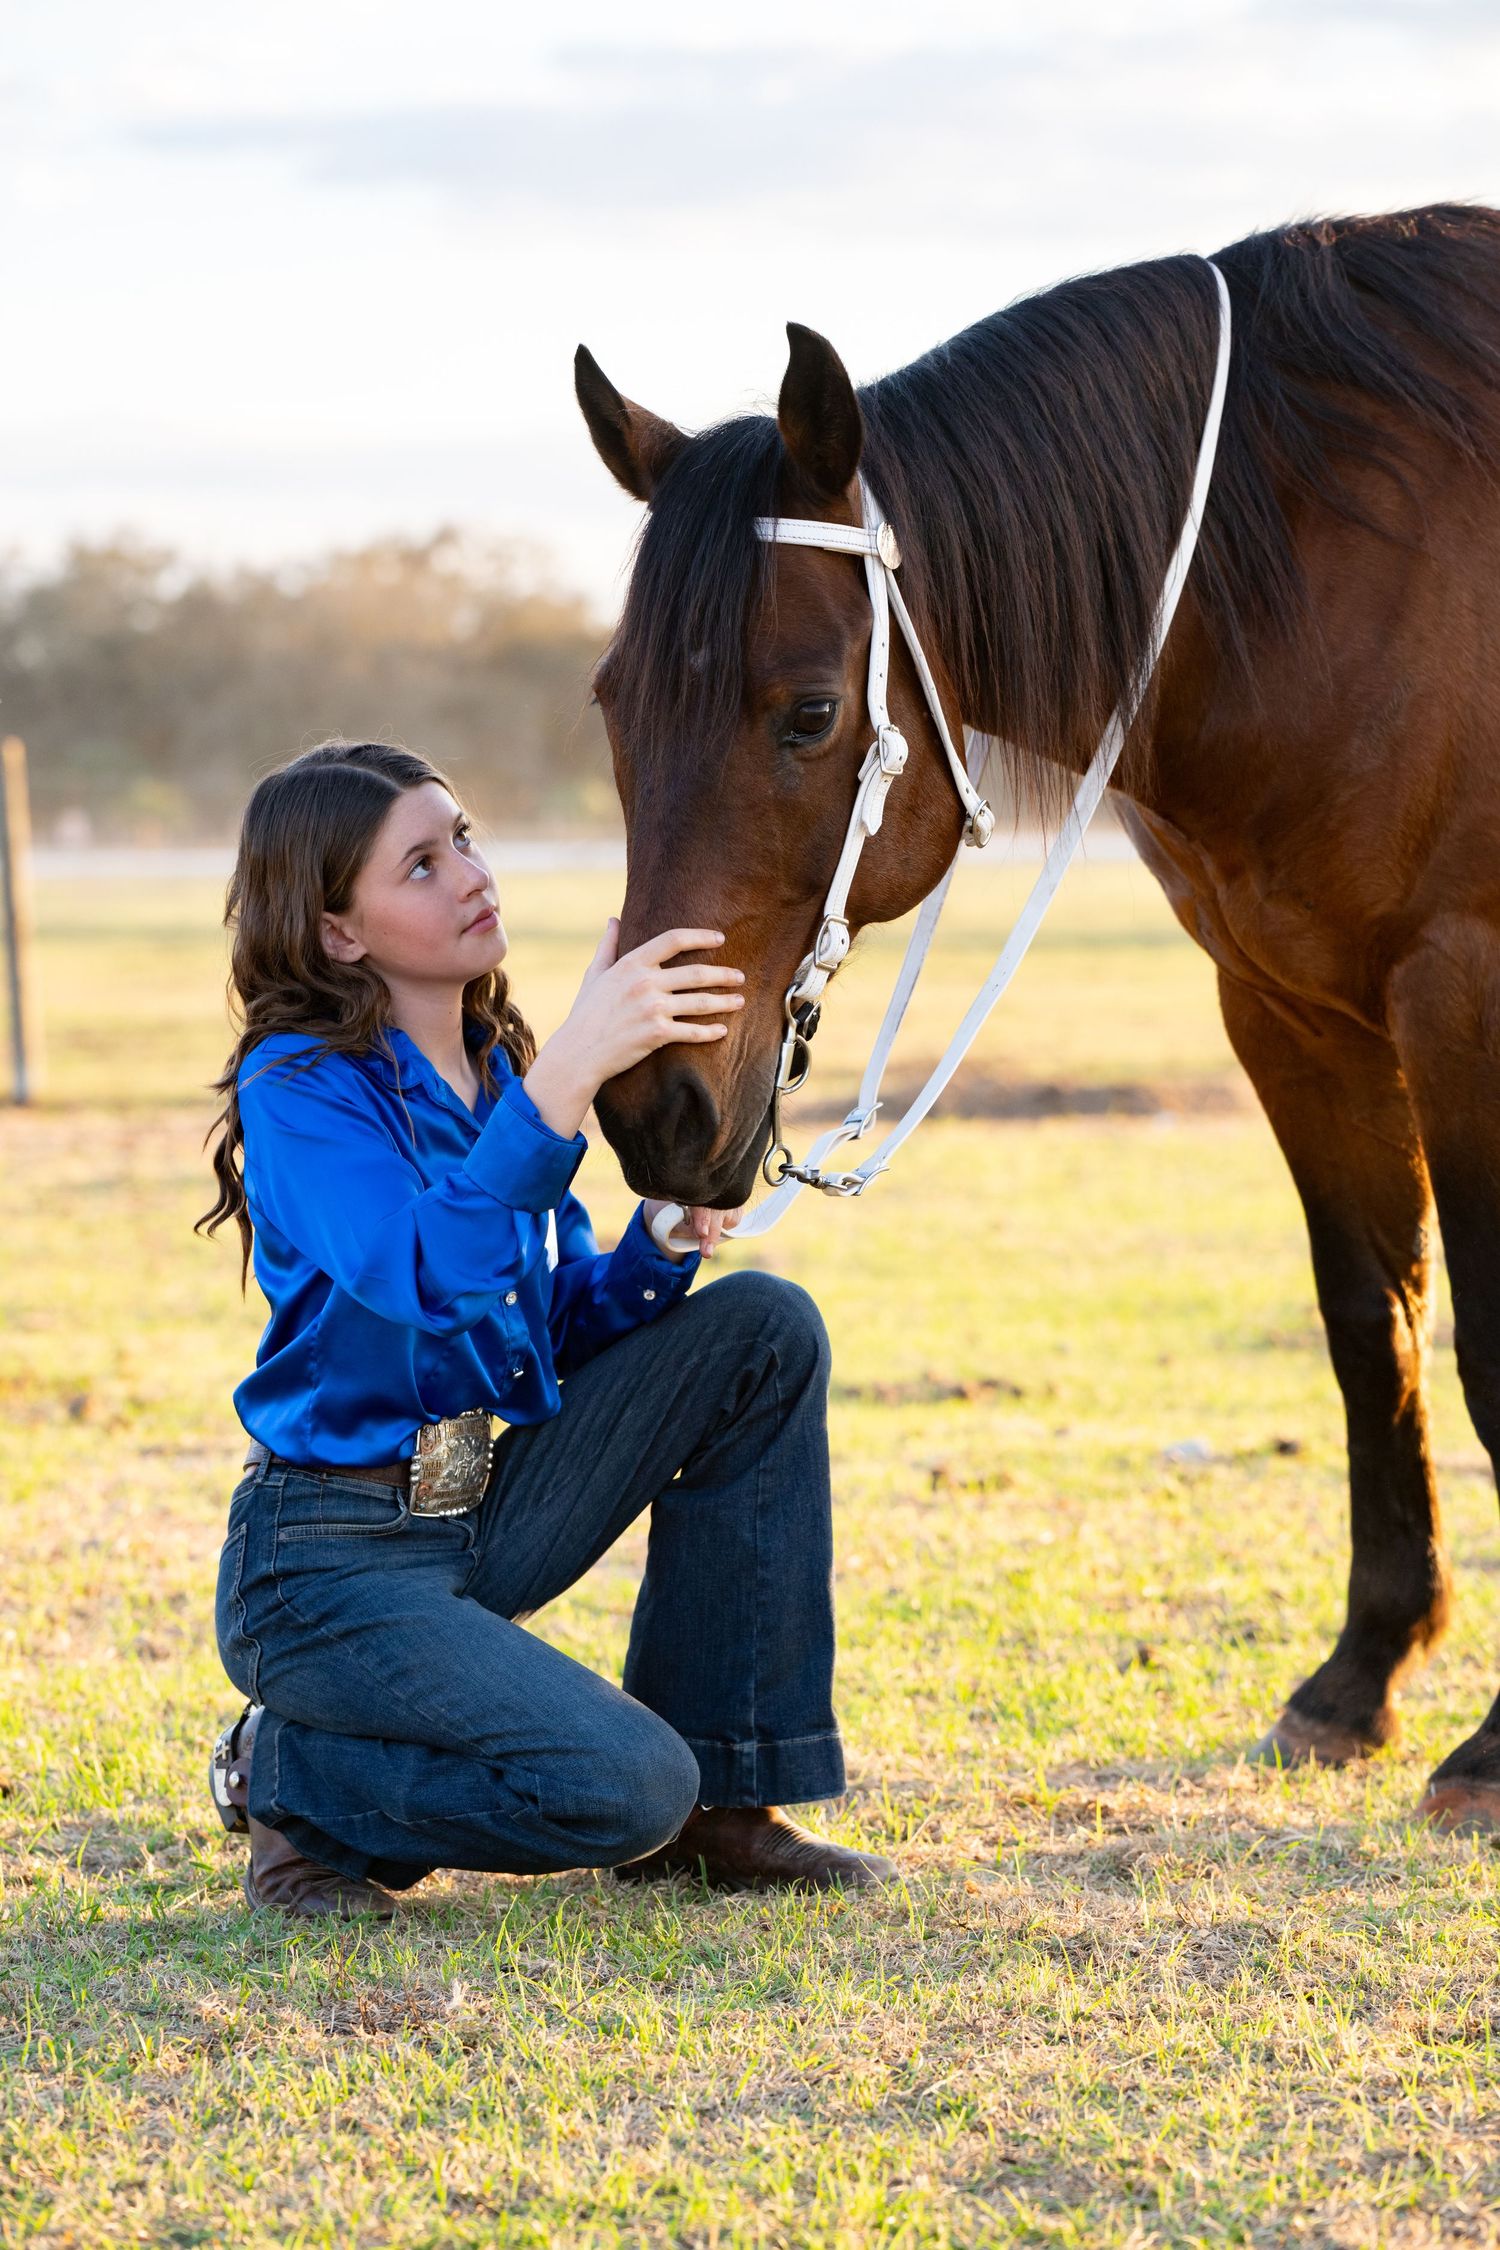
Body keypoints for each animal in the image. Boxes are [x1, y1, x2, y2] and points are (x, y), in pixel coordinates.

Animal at [574, 203, 1500, 1836]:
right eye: (613, 704)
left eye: (810, 712)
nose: (651, 1106)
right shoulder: (1290, 1012)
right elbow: (1370, 1325)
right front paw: (1363, 1679)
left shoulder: (1465, 987)